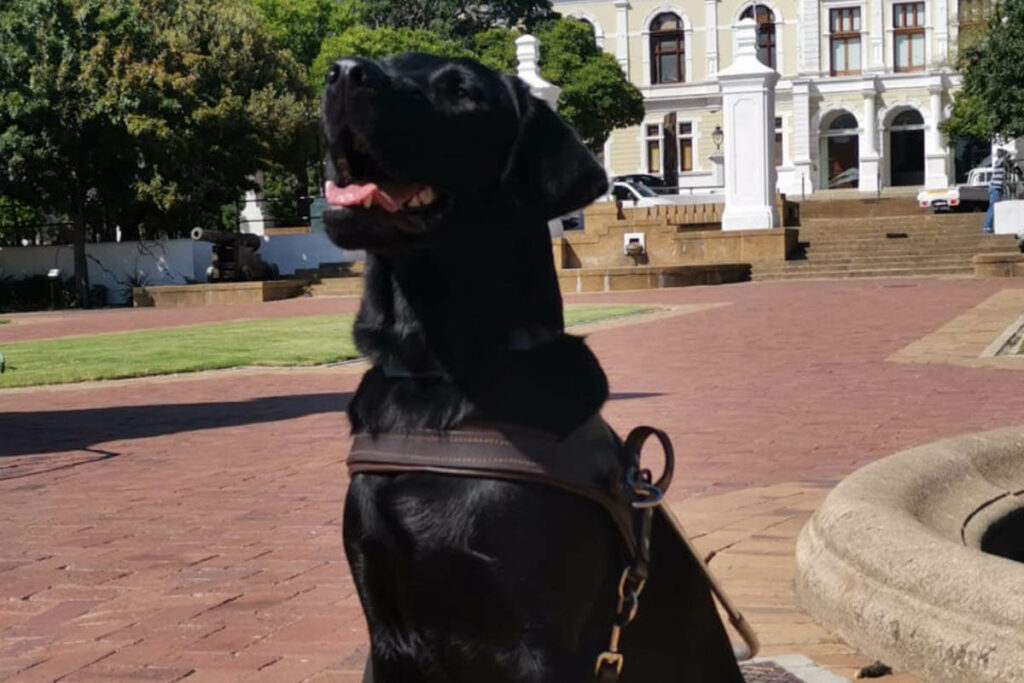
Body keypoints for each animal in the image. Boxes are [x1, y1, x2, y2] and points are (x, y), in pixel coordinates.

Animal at [321, 54, 745, 683]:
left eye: (464, 93)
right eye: (390, 63)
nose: (345, 72)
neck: (438, 372)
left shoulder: (539, 643)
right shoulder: (386, 629)